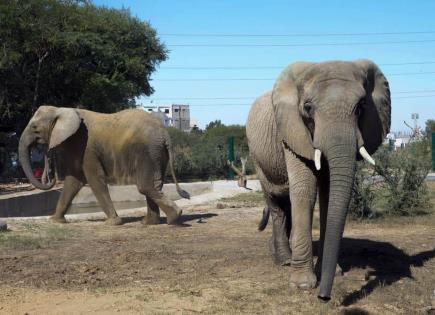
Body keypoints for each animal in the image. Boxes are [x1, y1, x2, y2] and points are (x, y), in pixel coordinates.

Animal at [19, 107, 189, 226]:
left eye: (35, 127)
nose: (49, 176)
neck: (61, 109)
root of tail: (165, 134)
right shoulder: (77, 147)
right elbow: (74, 180)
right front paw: (55, 221)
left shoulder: (87, 147)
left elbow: (94, 179)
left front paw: (113, 223)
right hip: (157, 153)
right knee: (153, 185)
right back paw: (150, 222)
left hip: (148, 152)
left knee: (145, 186)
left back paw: (174, 217)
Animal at [247, 59, 394, 302]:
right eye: (308, 108)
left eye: (361, 107)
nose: (324, 297)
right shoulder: (292, 132)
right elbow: (305, 189)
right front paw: (302, 285)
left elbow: (328, 192)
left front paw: (335, 272)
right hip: (257, 157)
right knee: (276, 203)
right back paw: (284, 260)